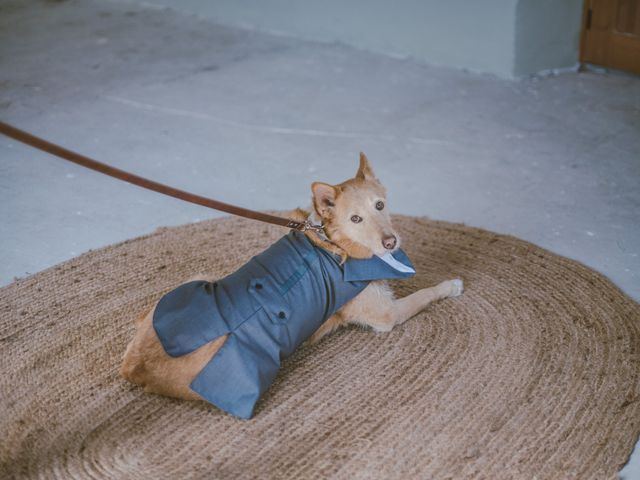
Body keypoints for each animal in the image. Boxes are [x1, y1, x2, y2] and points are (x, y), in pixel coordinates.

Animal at [120, 153, 462, 416]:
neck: (336, 243)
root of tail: (135, 367)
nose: (391, 242)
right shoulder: (386, 315)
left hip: (197, 280)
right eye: (355, 219)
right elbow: (423, 293)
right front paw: (451, 285)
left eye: (379, 205)